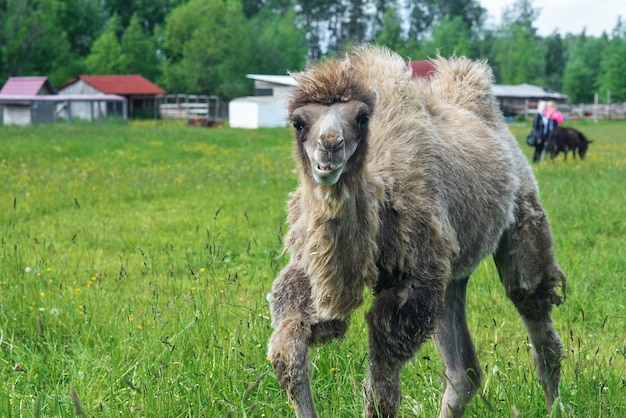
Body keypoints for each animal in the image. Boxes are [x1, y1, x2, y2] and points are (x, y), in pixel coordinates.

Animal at [266, 44, 568, 416]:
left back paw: (556, 405)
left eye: (362, 118)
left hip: (523, 220)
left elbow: (380, 388)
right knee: (464, 371)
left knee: (532, 305)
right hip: (450, 275)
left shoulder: (412, 282)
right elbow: (288, 353)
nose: (330, 146)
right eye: (298, 123)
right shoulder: (308, 270)